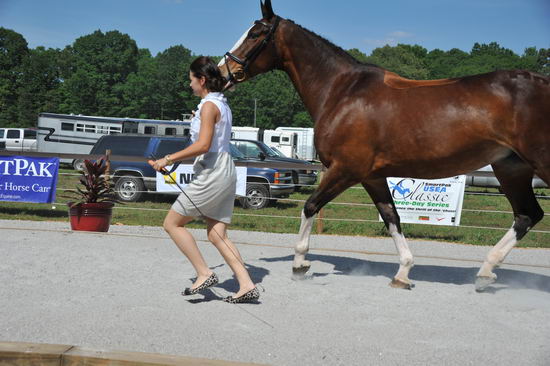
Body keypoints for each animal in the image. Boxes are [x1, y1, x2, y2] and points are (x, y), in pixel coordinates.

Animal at [219, 0, 550, 292]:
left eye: (255, 33)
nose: (221, 73)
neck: (342, 91)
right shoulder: (373, 176)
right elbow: (392, 217)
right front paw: (403, 272)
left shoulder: (345, 170)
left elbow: (310, 206)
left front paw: (300, 264)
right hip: (510, 167)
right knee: (527, 215)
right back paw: (485, 272)